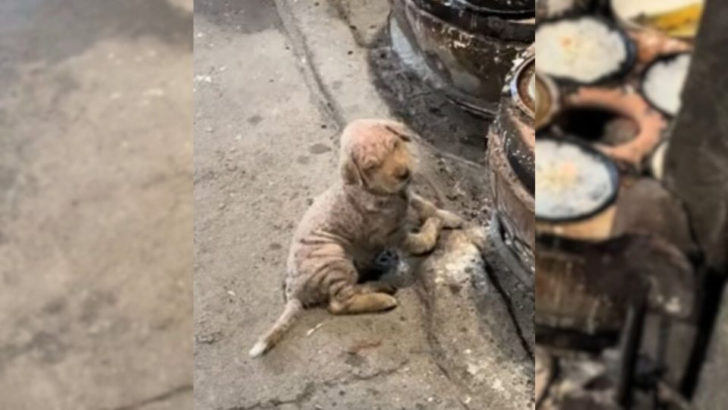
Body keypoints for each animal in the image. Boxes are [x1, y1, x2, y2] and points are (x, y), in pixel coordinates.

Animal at [250, 117, 464, 356]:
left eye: (394, 145)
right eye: (371, 166)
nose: (404, 174)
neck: (378, 191)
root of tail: (293, 292)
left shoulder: (409, 196)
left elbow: (426, 206)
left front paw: (449, 217)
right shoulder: (394, 234)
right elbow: (421, 240)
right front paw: (434, 226)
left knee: (350, 290)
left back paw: (379, 285)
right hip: (333, 257)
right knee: (340, 302)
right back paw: (382, 299)